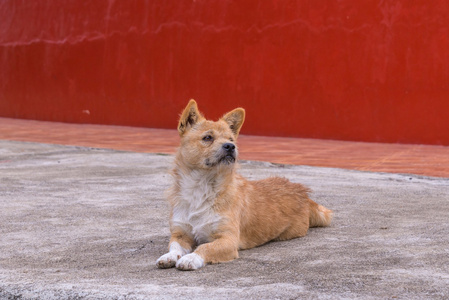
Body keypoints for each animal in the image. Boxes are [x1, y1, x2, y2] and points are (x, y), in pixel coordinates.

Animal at [156, 99, 330, 270]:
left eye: (231, 139)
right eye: (208, 138)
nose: (230, 146)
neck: (202, 187)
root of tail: (302, 192)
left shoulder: (228, 240)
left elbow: (205, 247)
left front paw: (191, 258)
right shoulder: (180, 234)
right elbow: (174, 246)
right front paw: (169, 256)